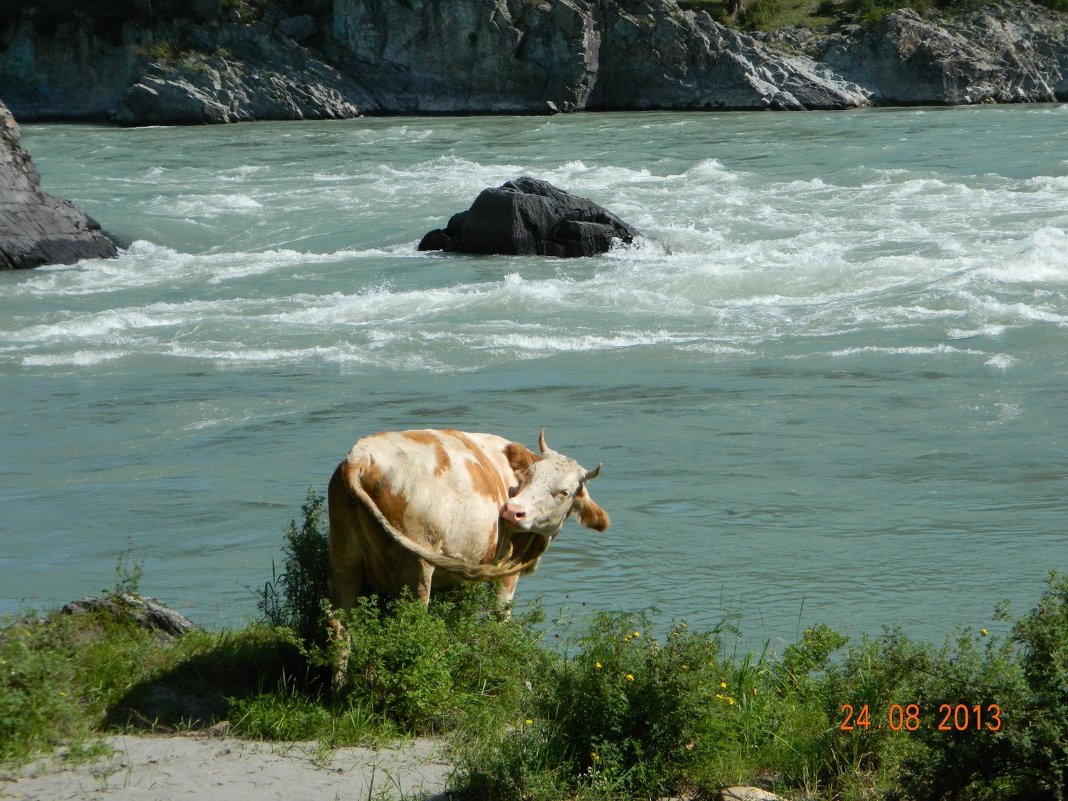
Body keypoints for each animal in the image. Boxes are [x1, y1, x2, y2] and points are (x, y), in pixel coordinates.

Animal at [324, 429, 610, 610]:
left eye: (563, 492)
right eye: (529, 475)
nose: (512, 511)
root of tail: (361, 457)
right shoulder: (507, 571)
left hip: (343, 560)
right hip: (416, 568)